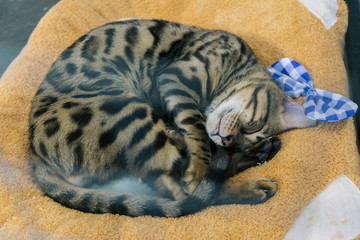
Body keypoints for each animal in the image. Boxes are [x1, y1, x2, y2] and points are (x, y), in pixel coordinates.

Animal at [28, 18, 316, 218]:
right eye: (253, 124)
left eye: (242, 140)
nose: (229, 141)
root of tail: (34, 155)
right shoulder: (177, 78)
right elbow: (197, 130)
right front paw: (199, 162)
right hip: (130, 113)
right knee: (184, 192)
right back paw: (251, 181)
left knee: (176, 184)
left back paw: (261, 155)